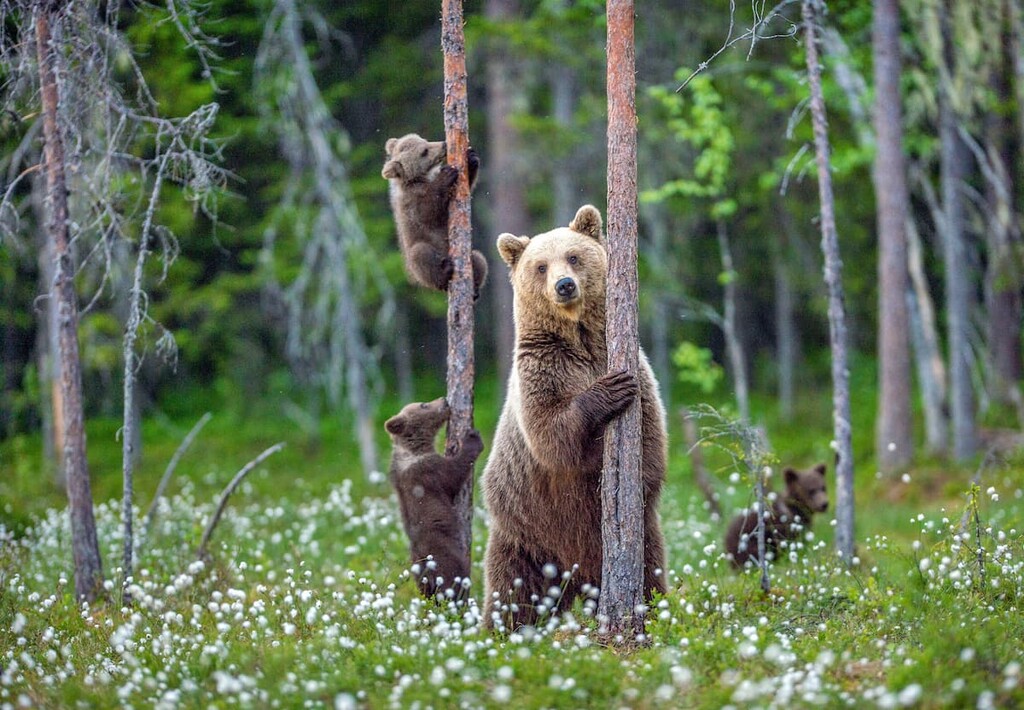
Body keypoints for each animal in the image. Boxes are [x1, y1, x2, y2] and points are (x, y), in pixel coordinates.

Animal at [381, 133, 488, 299]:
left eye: (425, 140)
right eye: (424, 151)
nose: (444, 144)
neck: (420, 178)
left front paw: (471, 158)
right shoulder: (412, 202)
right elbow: (428, 213)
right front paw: (446, 174)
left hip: (470, 256)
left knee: (479, 258)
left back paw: (475, 289)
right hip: (417, 259)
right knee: (421, 255)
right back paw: (445, 272)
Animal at [385, 397, 484, 600]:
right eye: (423, 404)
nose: (444, 400)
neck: (414, 449)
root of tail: (427, 572)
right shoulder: (428, 472)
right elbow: (454, 473)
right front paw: (472, 438)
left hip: (417, 573)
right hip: (445, 556)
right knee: (454, 580)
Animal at [480, 204, 668, 630]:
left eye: (574, 256)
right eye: (540, 266)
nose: (564, 285)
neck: (579, 338)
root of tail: (576, 575)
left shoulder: (635, 368)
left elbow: (650, 438)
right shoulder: (542, 370)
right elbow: (551, 434)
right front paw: (608, 391)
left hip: (641, 539)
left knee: (650, 571)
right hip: (526, 533)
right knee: (513, 591)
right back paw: (500, 632)